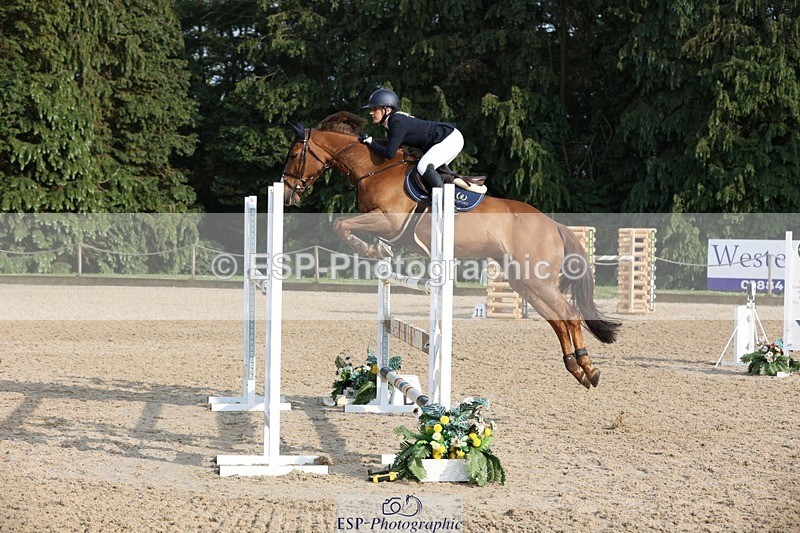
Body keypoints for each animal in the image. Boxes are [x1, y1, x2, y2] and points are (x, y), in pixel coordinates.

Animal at [280, 111, 620, 389]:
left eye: (295, 154)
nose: (286, 195)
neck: (374, 169)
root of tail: (553, 225)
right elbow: (347, 227)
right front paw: (377, 252)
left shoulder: (388, 221)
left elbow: (341, 225)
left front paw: (369, 250)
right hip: (524, 281)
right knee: (558, 320)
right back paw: (578, 370)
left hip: (535, 280)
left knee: (570, 315)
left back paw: (588, 367)